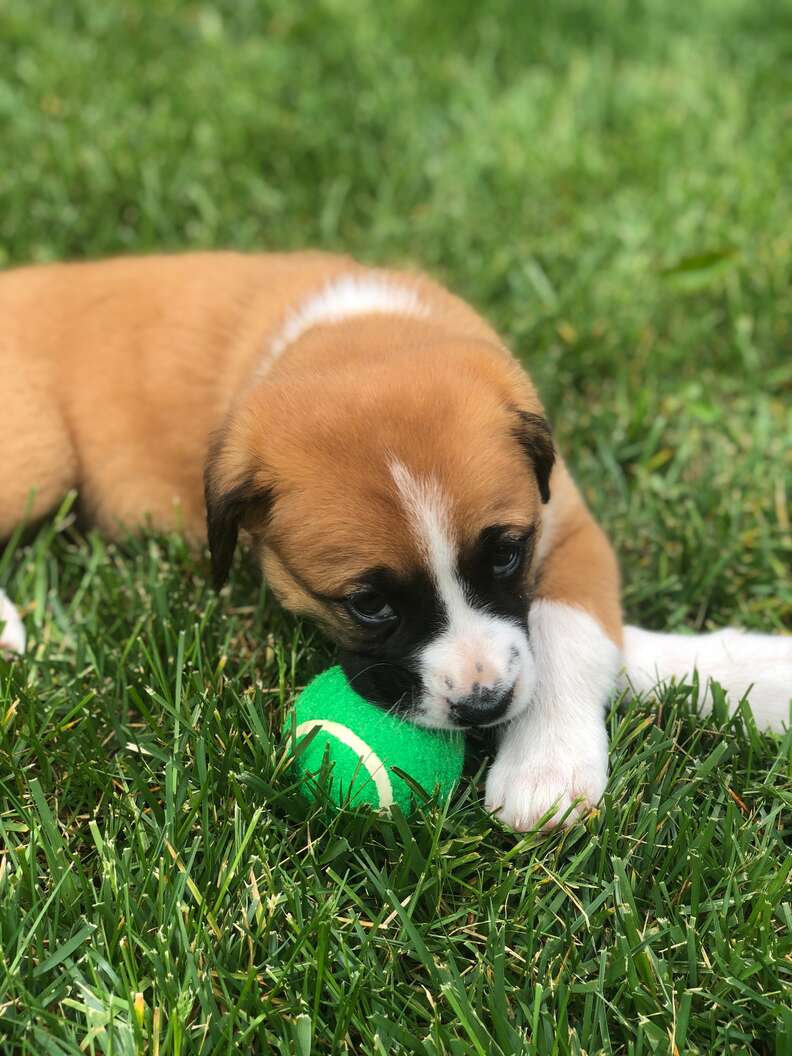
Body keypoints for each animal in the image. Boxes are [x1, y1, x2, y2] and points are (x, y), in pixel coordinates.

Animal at [1, 251, 792, 827]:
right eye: (369, 605)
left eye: (506, 554)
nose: (484, 704)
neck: (357, 331)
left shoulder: (566, 523)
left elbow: (575, 631)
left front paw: (554, 756)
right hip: (39, 457)